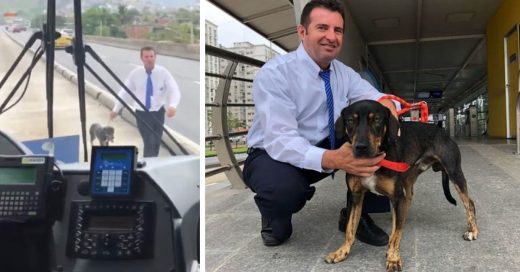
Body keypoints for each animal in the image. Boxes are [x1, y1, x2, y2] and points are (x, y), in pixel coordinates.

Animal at [328, 100, 478, 272]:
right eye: (350, 121)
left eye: (377, 120)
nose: (360, 147)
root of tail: (442, 131)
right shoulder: (355, 196)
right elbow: (350, 228)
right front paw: (342, 251)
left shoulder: (396, 197)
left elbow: (395, 235)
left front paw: (393, 258)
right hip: (408, 180)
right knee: (406, 204)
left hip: (454, 172)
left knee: (469, 203)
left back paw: (473, 231)